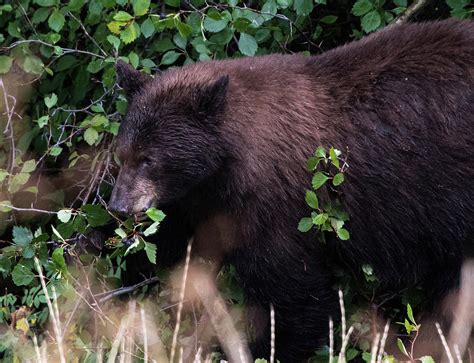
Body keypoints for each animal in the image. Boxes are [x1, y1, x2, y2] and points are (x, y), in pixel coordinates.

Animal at [108, 20, 474, 363]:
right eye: (122, 154)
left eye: (148, 158)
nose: (119, 205)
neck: (231, 158)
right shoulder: (203, 198)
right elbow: (176, 239)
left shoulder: (274, 203)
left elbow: (293, 291)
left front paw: (262, 348)